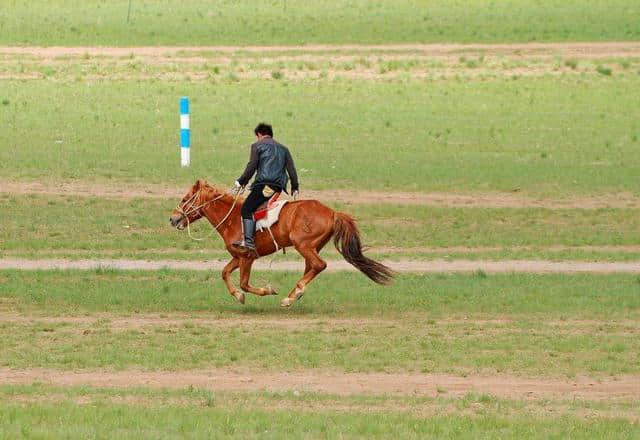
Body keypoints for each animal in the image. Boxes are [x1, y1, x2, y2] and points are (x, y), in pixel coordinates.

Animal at [168, 179, 392, 306]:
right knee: (312, 267)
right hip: (312, 247)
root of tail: (332, 212)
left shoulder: (247, 257)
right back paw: (294, 295)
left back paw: (293, 295)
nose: (173, 219)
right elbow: (224, 273)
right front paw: (238, 296)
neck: (232, 218)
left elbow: (244, 283)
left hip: (303, 245)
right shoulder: (237, 257)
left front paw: (266, 291)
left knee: (319, 265)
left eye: (185, 198)